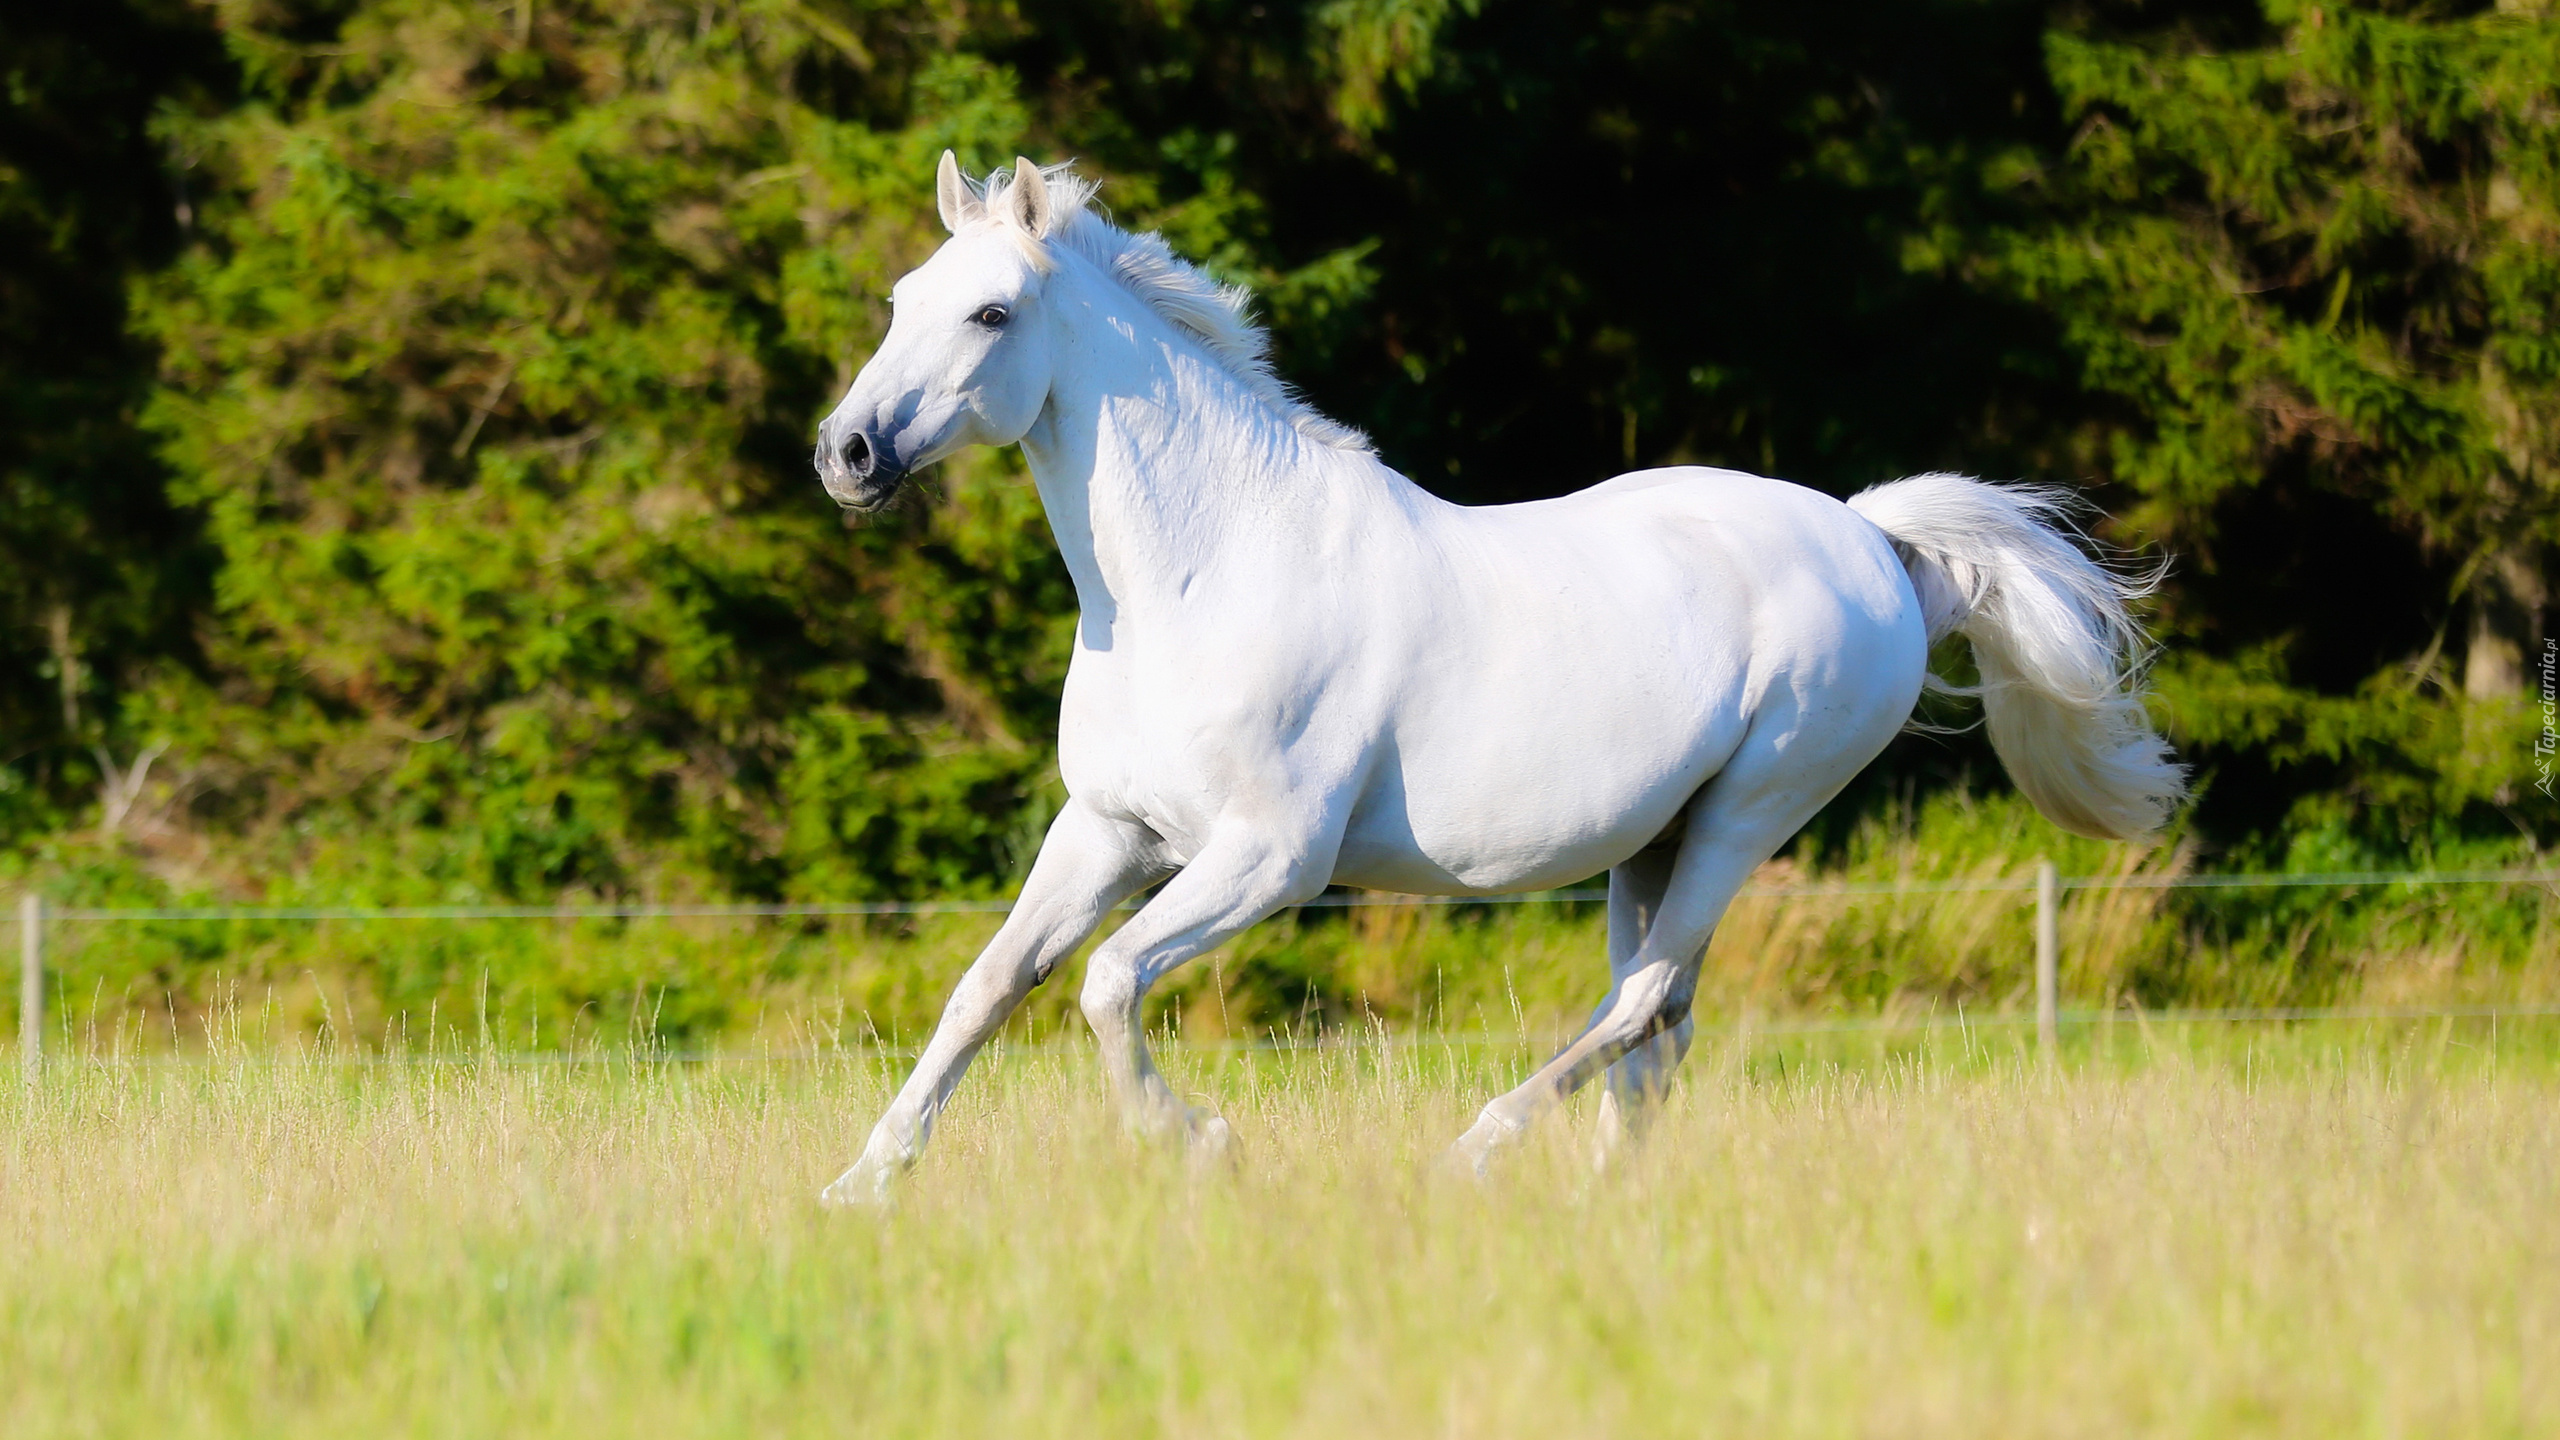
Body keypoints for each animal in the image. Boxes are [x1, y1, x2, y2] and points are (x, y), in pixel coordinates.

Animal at [814, 154, 2181, 1199]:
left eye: (991, 315)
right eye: (900, 297)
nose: (848, 453)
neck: (1204, 577)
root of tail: (1869, 537)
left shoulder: (1267, 859)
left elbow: (1104, 984)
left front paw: (1201, 1144)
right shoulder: (1107, 831)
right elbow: (986, 989)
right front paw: (862, 1183)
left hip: (1751, 814)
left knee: (1640, 1005)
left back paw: (1476, 1150)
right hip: (1657, 840)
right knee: (1658, 1021)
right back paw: (1604, 1197)